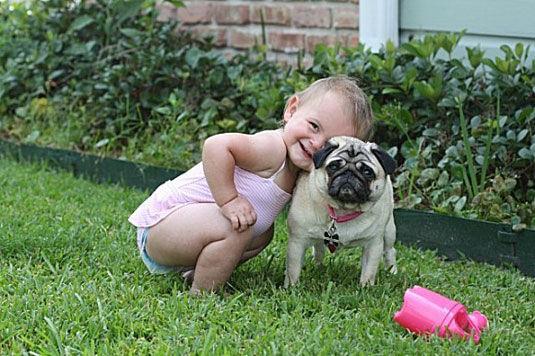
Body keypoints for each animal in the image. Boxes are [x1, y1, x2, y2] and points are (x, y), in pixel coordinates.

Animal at [284, 135, 398, 288]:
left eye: (367, 172)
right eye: (333, 166)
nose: (348, 173)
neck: (343, 210)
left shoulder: (373, 244)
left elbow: (369, 271)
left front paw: (365, 288)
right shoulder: (298, 241)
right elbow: (293, 269)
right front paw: (291, 287)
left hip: (388, 231)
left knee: (390, 251)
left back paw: (392, 271)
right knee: (318, 248)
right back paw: (318, 266)